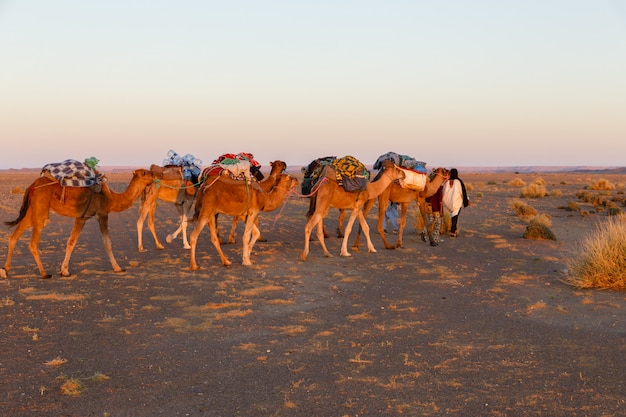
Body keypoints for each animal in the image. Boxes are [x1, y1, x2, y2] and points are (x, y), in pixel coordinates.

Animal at [1, 167, 157, 278]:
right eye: (147, 173)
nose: (157, 174)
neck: (111, 198)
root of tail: (31, 186)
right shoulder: (99, 214)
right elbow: (106, 243)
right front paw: (118, 268)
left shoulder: (83, 216)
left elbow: (71, 241)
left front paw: (64, 271)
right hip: (40, 208)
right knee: (33, 241)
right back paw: (44, 273)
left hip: (31, 209)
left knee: (14, 236)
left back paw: (5, 271)